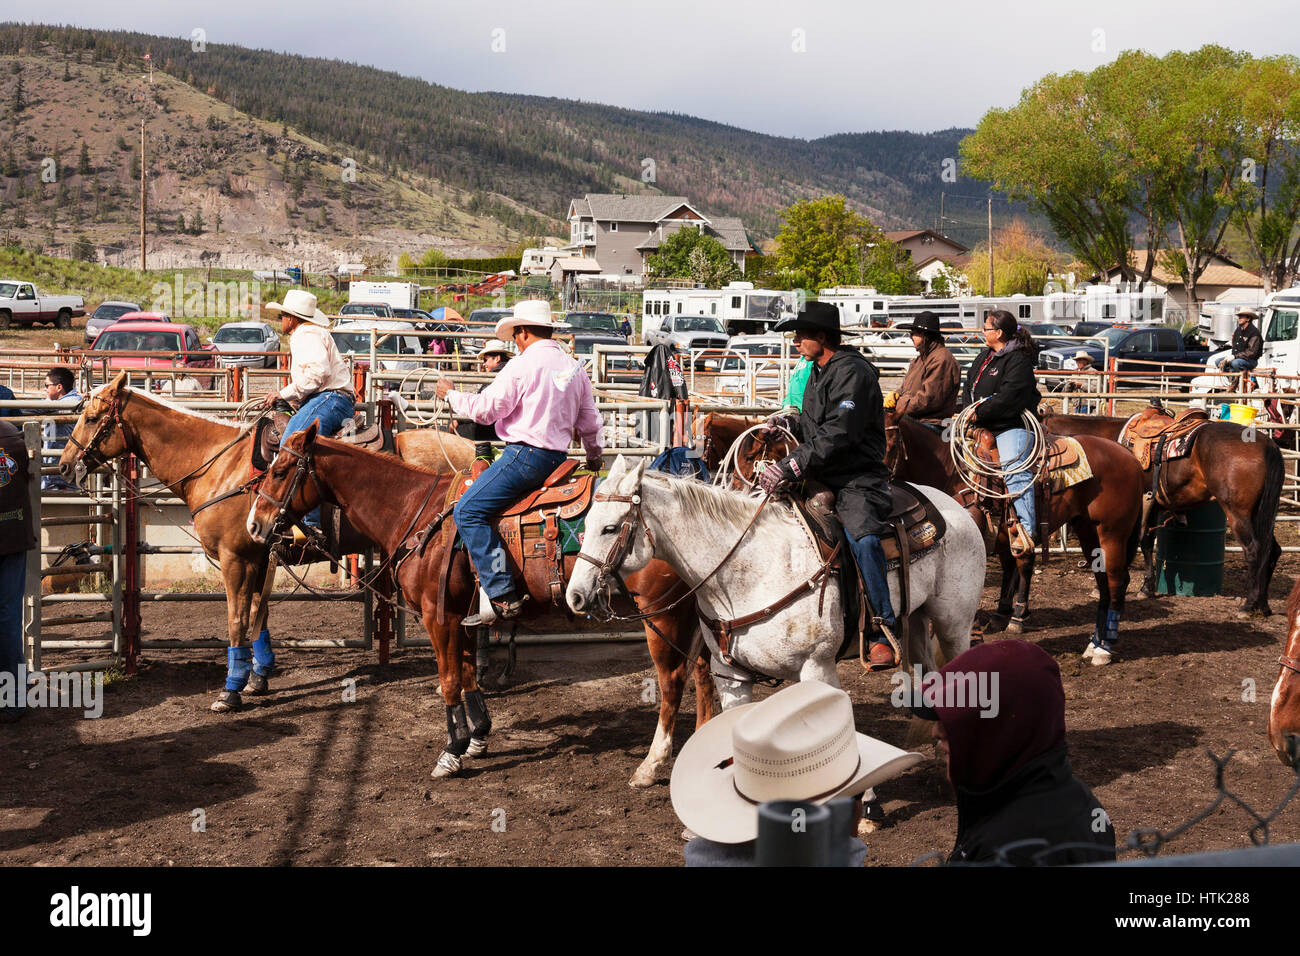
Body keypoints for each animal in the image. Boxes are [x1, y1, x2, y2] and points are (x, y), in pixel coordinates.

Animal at [248, 426, 722, 785]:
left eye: (283, 470)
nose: (254, 525)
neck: (418, 512)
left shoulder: (438, 614)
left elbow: (449, 679)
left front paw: (451, 751)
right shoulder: (462, 615)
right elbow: (469, 672)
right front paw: (478, 736)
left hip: (661, 612)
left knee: (673, 680)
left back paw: (651, 765)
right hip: (691, 610)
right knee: (703, 672)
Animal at [569, 455, 982, 712]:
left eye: (610, 528)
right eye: (587, 523)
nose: (575, 595)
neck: (749, 574)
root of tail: (954, 506)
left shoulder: (817, 668)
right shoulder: (731, 677)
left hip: (954, 624)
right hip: (917, 617)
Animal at [878, 408, 1144, 660]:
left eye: (890, 445)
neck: (949, 472)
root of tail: (1128, 455)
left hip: (1112, 533)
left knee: (1116, 581)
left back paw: (1104, 648)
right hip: (1088, 532)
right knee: (1103, 584)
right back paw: (1093, 644)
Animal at [1040, 408, 1284, 616]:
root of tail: (1268, 445)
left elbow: (1130, 543)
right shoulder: (1153, 503)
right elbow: (1147, 541)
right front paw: (1146, 588)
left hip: (1238, 513)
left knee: (1254, 550)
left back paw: (1249, 605)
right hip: (1260, 514)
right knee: (1271, 550)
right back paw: (1263, 605)